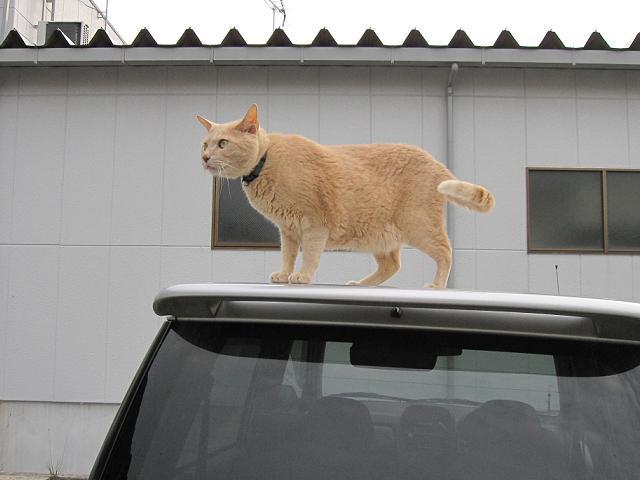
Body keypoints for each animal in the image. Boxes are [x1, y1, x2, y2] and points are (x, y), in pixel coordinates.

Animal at [197, 104, 494, 288]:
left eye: (223, 143)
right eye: (205, 144)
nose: (205, 157)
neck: (265, 162)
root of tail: (436, 161)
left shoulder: (314, 225)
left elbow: (310, 255)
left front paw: (302, 276)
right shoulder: (288, 230)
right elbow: (288, 255)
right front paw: (284, 273)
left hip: (419, 226)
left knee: (445, 252)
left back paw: (436, 285)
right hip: (382, 236)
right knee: (392, 265)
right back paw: (361, 284)